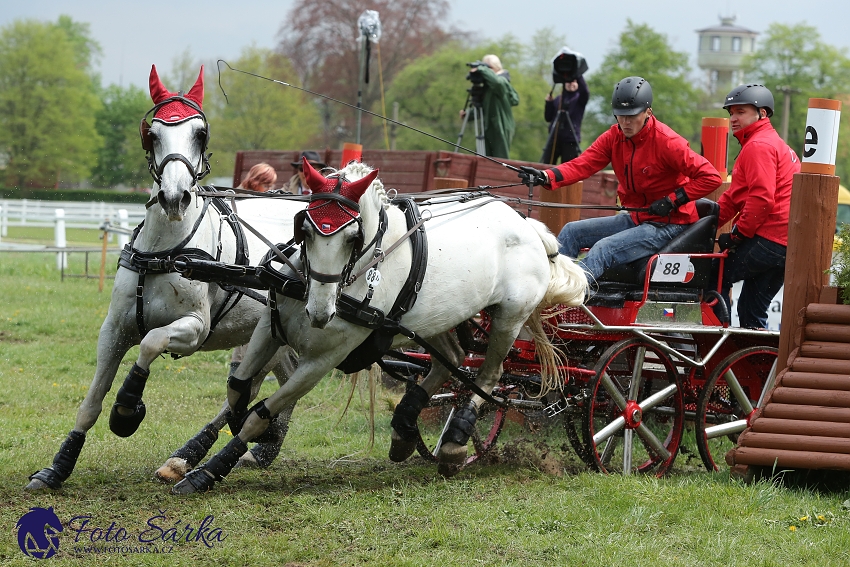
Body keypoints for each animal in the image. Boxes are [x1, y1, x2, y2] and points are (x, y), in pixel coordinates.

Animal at [24, 65, 304, 492]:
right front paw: (58, 467)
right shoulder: (114, 329)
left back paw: (202, 454)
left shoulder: (194, 329)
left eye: (200, 133)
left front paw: (127, 407)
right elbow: (91, 401)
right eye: (153, 133)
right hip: (272, 334)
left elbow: (151, 342)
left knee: (263, 389)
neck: (165, 251)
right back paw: (244, 449)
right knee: (275, 384)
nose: (174, 198)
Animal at [171, 159, 584, 492]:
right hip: (436, 317)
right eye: (305, 228)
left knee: (488, 375)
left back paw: (454, 441)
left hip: (509, 316)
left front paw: (208, 471)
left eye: (353, 237)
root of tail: (529, 226)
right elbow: (238, 389)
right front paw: (207, 447)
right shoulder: (270, 329)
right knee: (450, 359)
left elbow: (259, 415)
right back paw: (405, 425)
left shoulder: (321, 361)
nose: (320, 312)